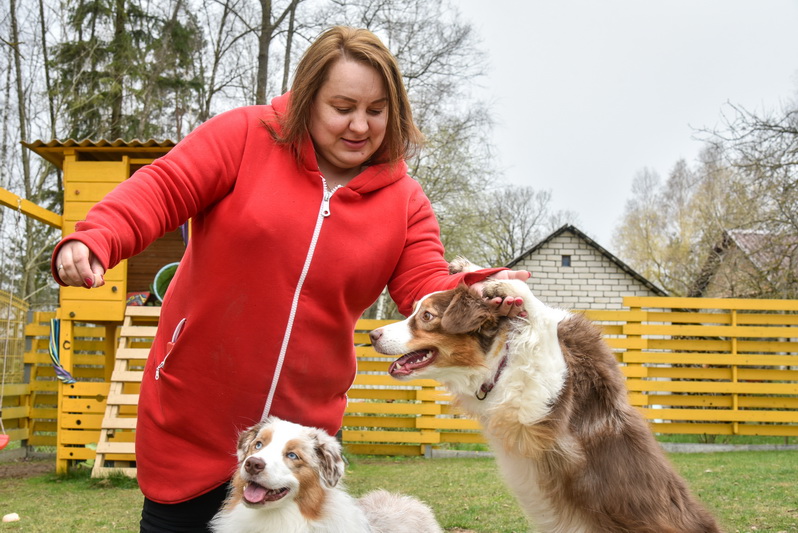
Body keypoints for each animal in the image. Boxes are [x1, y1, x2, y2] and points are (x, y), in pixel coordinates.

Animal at [368, 260, 724, 532]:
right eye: (416, 311)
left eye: (427, 316)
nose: (372, 334)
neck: (503, 357)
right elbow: (545, 318)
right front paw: (475, 271)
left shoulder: (551, 394)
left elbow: (541, 315)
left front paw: (502, 283)